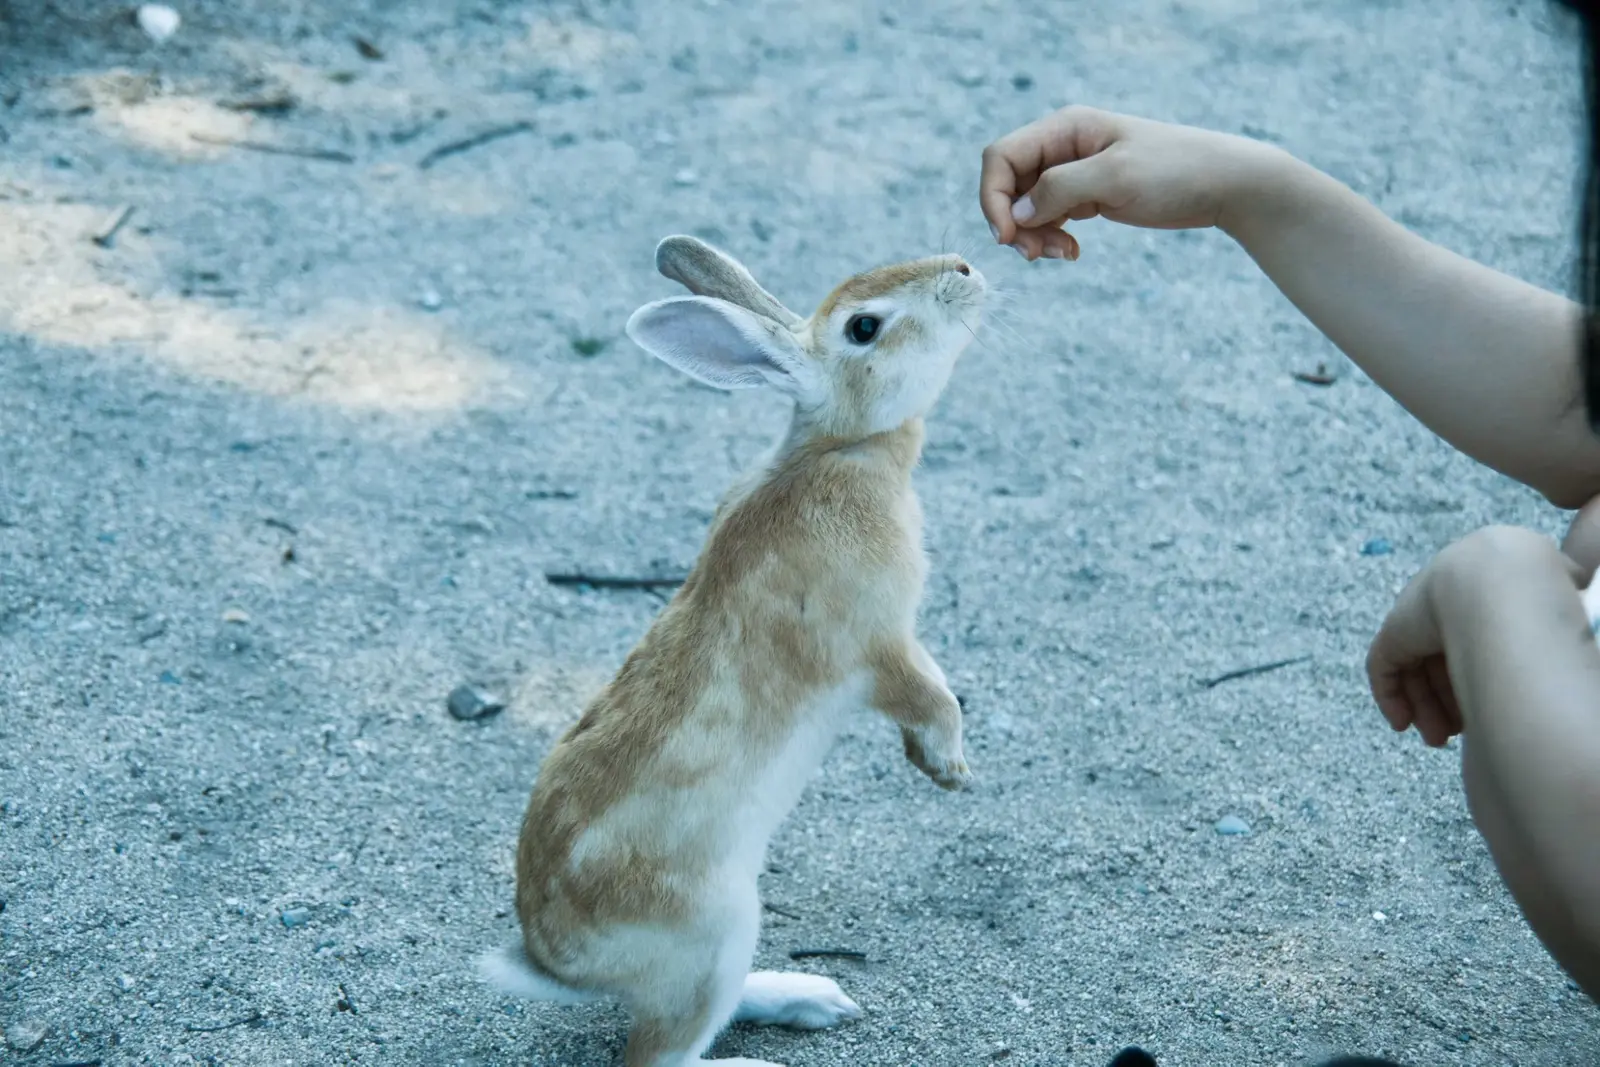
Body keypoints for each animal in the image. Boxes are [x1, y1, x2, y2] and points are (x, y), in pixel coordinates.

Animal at [480, 235, 985, 1067]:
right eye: (865, 328)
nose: (966, 270)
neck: (844, 449)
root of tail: (555, 961)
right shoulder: (878, 643)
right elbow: (927, 694)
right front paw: (947, 768)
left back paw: (811, 997)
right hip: (711, 933)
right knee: (661, 1053)